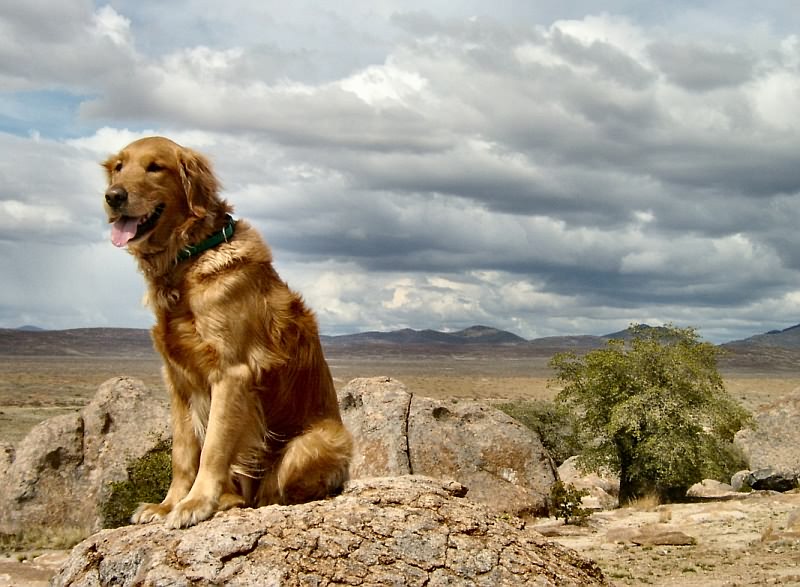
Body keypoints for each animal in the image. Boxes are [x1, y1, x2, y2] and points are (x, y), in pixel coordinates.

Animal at [101, 137, 352, 528]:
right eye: (118, 167)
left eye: (155, 167)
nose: (113, 197)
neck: (187, 260)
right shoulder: (177, 380)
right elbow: (183, 454)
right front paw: (167, 505)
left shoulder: (232, 373)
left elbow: (213, 449)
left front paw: (196, 503)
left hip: (318, 441)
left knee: (272, 491)